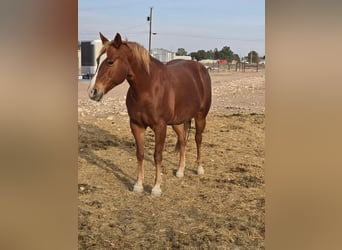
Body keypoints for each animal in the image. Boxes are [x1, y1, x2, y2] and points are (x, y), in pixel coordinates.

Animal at [87, 32, 211, 195]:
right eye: (97, 60)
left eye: (110, 62)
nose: (92, 92)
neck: (149, 87)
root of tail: (201, 68)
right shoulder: (136, 125)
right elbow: (140, 154)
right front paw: (138, 185)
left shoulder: (160, 127)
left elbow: (157, 155)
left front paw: (156, 187)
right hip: (177, 122)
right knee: (183, 140)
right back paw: (180, 171)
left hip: (201, 116)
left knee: (198, 139)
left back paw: (199, 168)